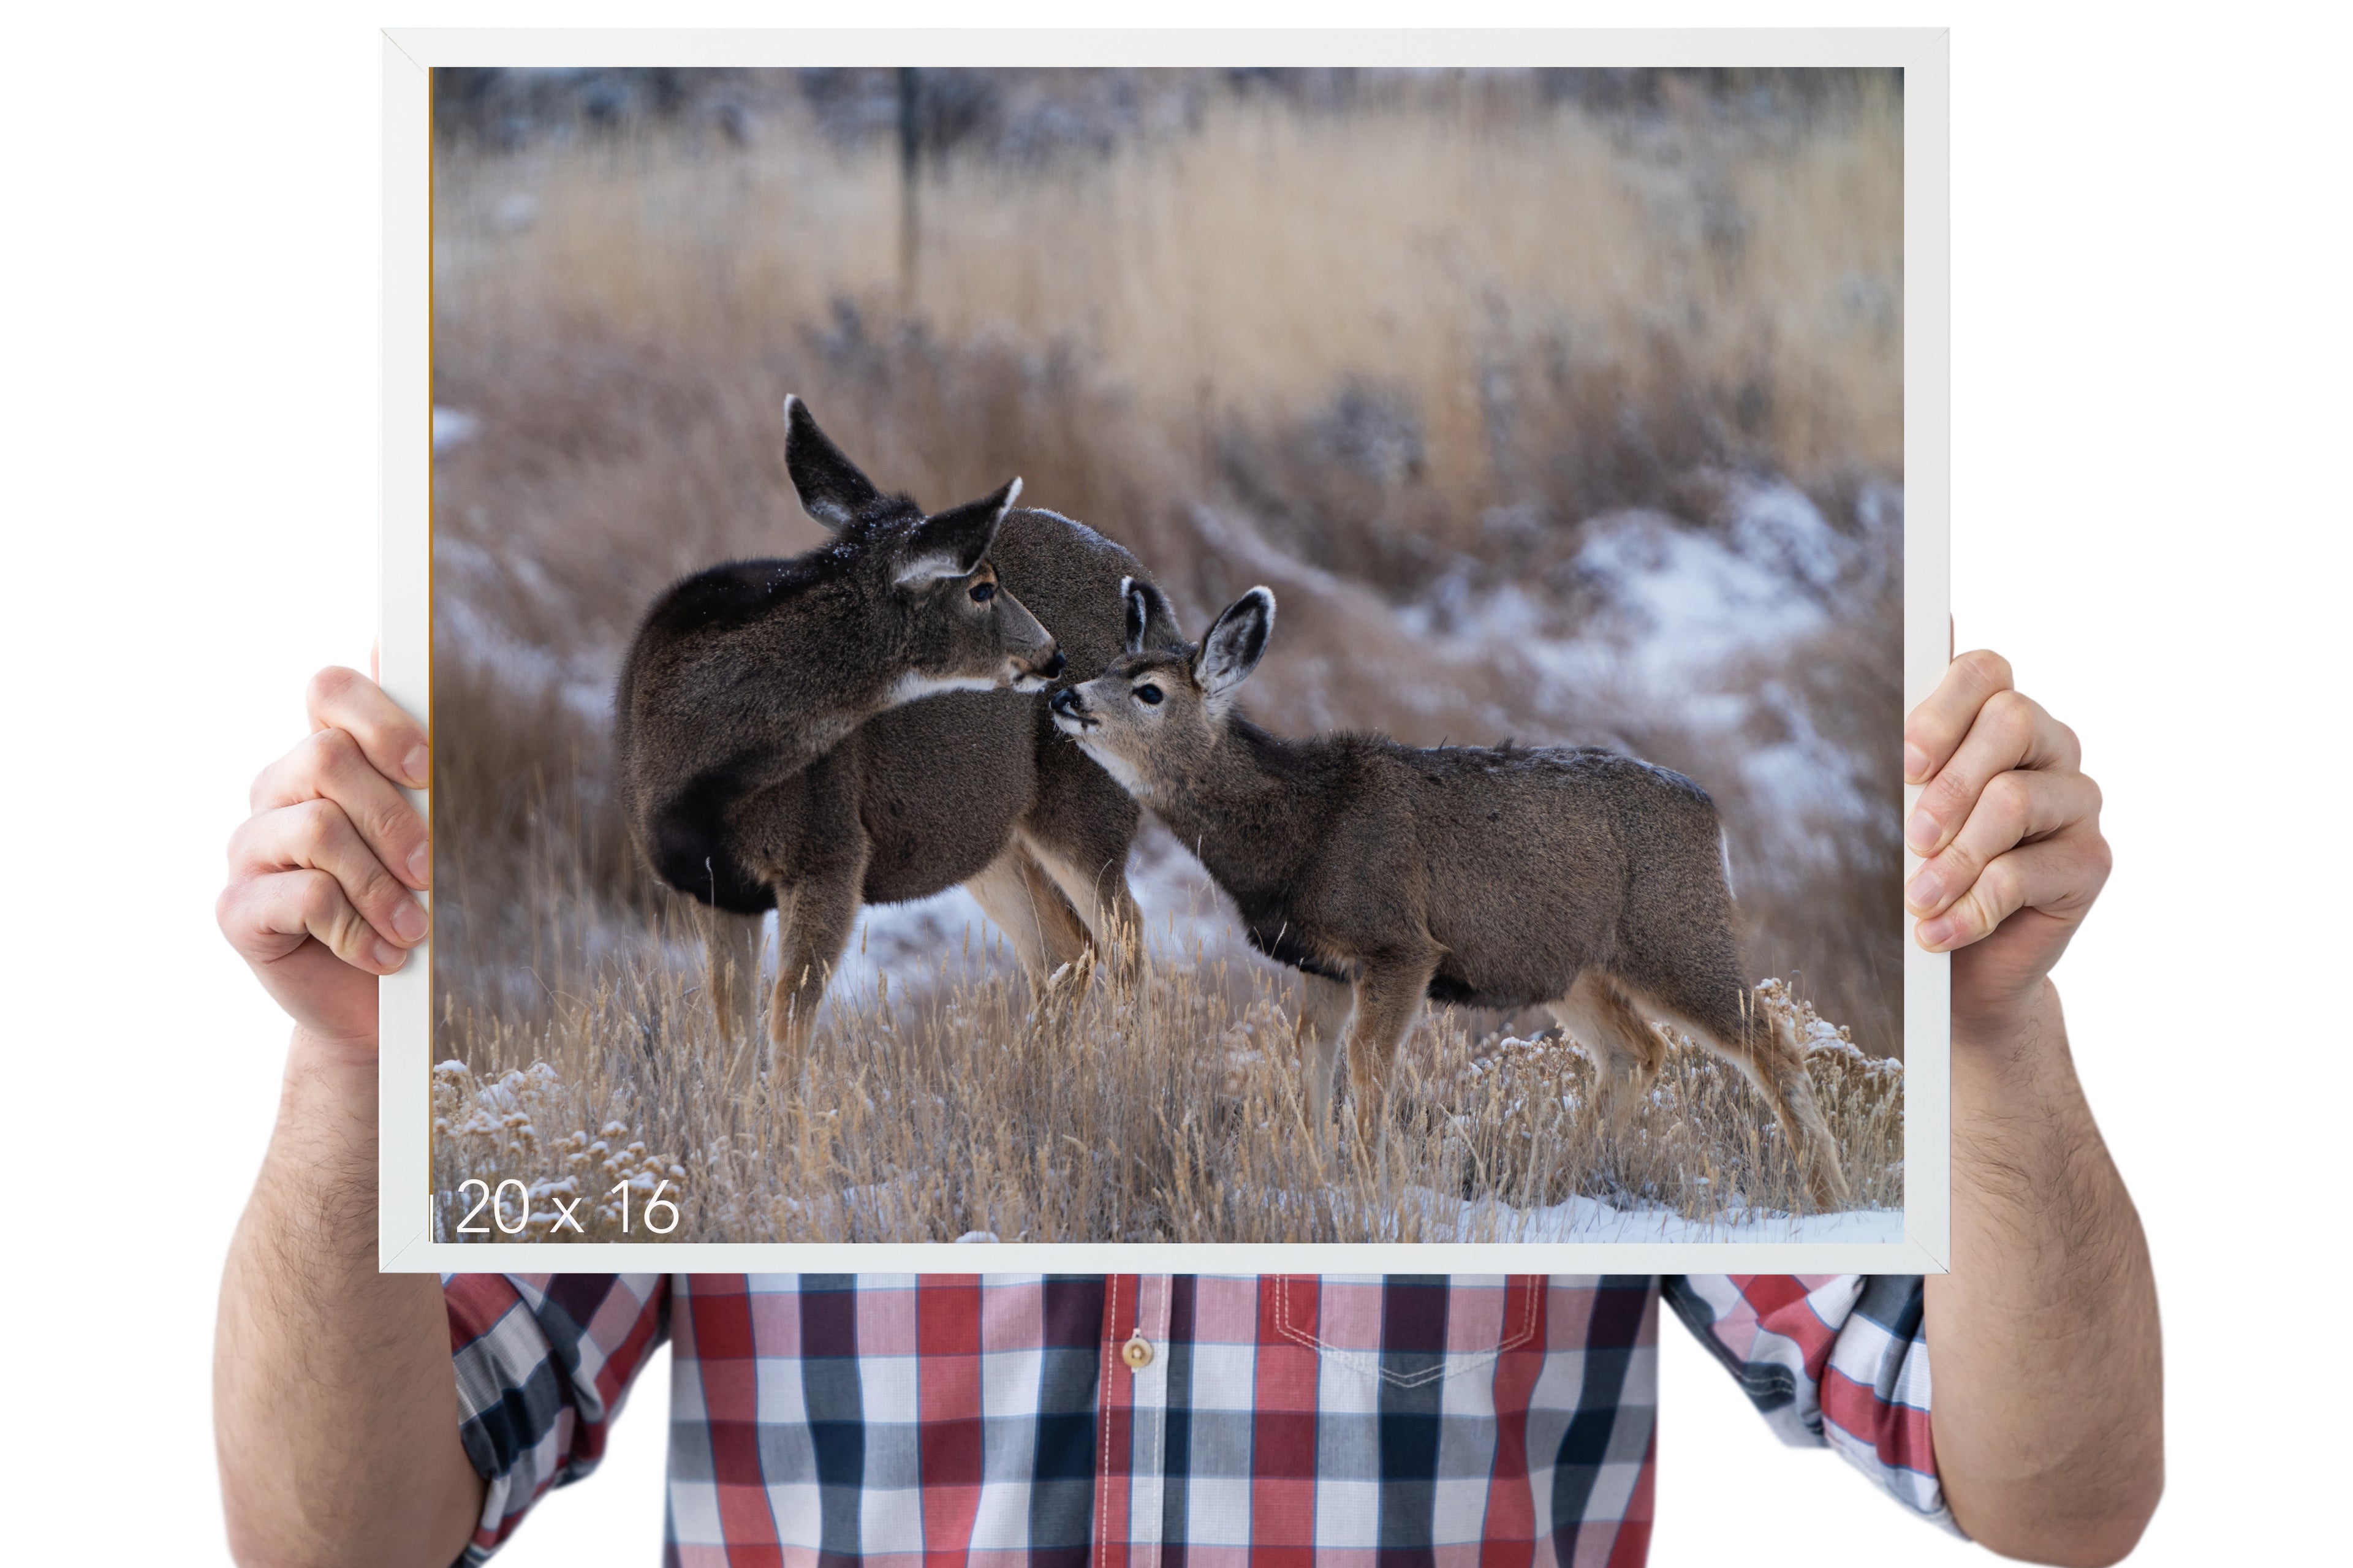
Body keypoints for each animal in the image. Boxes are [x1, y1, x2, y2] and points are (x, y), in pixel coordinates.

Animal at [615, 398, 1155, 1069]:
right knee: (1067, 953)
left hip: (1086, 798)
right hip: (986, 834)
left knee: (1125, 938)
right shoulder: (717, 887)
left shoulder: (830, 851)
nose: (1051, 656)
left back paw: (1125, 1069)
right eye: (981, 587)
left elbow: (787, 1022)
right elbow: (732, 1028)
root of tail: (1142, 582)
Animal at [1048, 578, 1852, 1209]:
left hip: (1675, 934)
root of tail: (1712, 816)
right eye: (1111, 665)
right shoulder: (1320, 962)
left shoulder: (1399, 942)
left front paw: (1364, 1178)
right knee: (1639, 1050)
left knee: (1771, 1044)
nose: (1063, 694)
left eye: (1149, 691)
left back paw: (1828, 1195)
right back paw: (1560, 1180)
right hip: (1569, 964)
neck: (1301, 830)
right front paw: (1312, 1169)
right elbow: (1312, 1058)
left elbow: (1370, 1062)